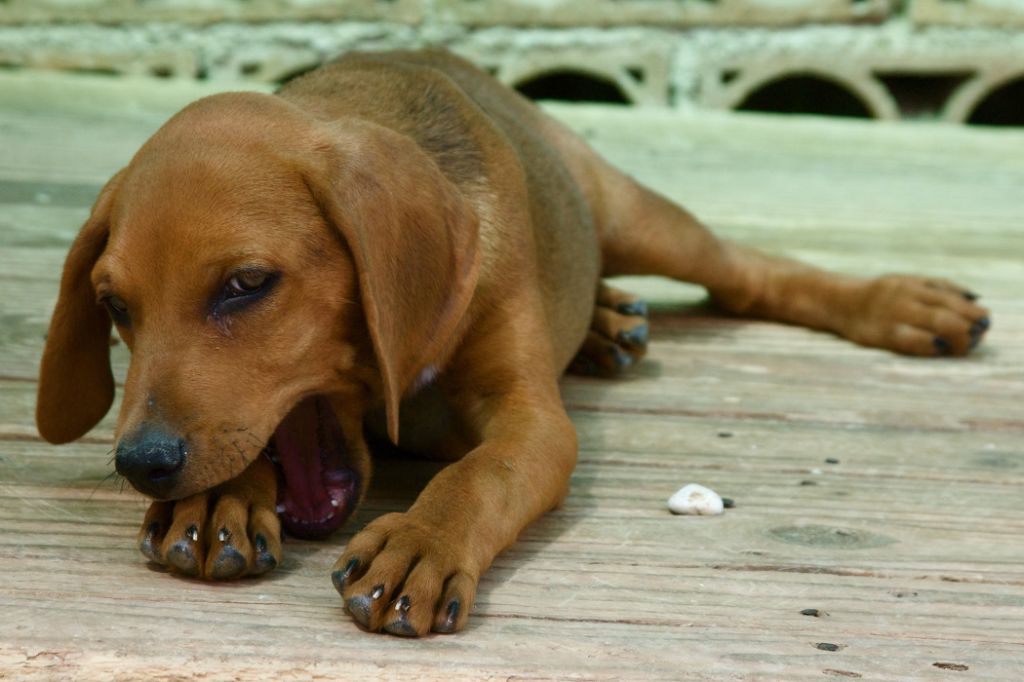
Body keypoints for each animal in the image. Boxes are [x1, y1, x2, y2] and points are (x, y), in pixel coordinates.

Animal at [36, 50, 987, 634]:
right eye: (114, 305)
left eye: (245, 285)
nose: (143, 464)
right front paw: (219, 503)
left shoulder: (535, 421)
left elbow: (479, 473)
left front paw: (423, 544)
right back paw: (604, 323)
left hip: (633, 212)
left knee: (748, 273)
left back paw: (906, 305)